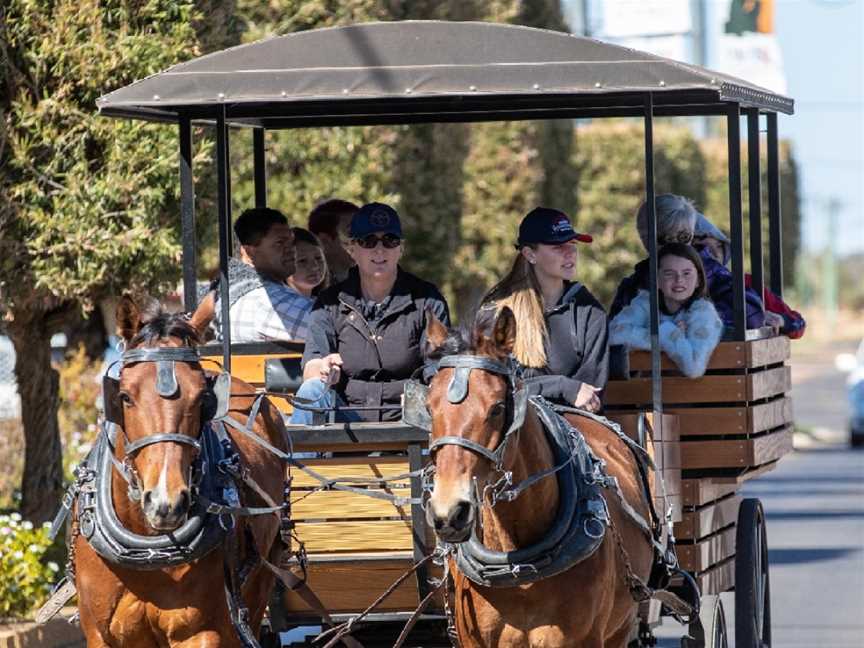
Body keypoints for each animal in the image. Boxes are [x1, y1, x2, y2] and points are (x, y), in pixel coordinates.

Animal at [73, 300, 286, 648]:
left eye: (203, 398)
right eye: (125, 397)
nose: (166, 503)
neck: (148, 551)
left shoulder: (201, 633)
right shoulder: (102, 635)